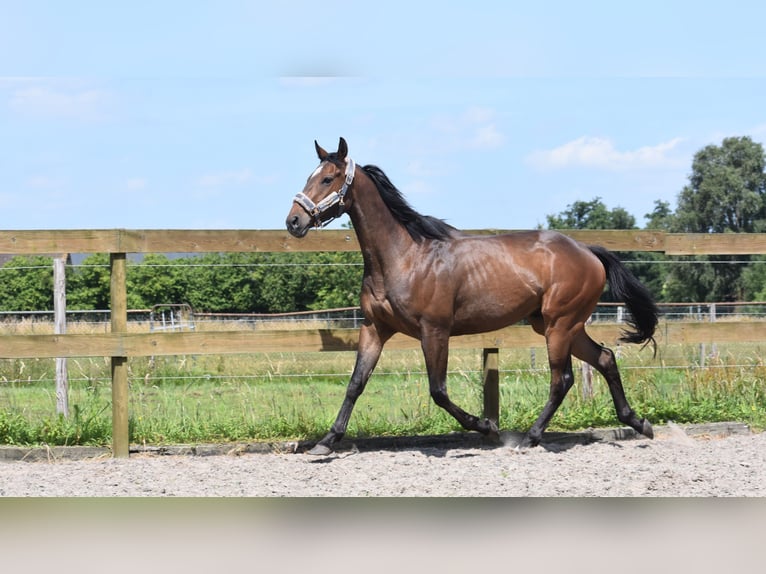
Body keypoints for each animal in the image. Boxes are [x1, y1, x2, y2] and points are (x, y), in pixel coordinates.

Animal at [288, 137, 660, 456]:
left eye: (328, 178)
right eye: (310, 176)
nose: (294, 220)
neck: (403, 257)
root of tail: (588, 251)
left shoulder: (434, 331)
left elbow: (438, 391)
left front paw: (487, 426)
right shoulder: (374, 328)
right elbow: (355, 384)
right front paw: (326, 441)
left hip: (560, 324)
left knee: (562, 379)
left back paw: (530, 437)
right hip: (559, 325)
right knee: (605, 358)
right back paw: (639, 423)